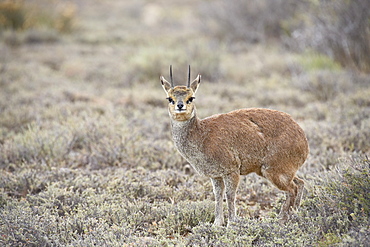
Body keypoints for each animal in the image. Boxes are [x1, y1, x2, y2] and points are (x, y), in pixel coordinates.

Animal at [160, 65, 308, 226]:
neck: (202, 135)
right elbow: (218, 195)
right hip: (279, 172)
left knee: (292, 189)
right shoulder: (216, 175)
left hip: (274, 171)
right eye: (170, 98)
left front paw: (231, 223)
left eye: (191, 98)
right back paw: (293, 216)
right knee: (300, 183)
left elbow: (230, 195)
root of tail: (302, 137)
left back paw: (282, 219)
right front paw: (217, 223)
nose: (180, 106)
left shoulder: (232, 171)